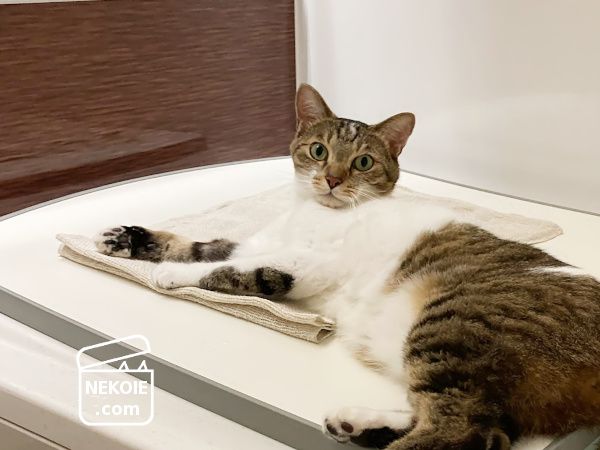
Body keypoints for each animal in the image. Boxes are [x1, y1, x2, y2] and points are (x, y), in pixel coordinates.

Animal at [95, 84, 600, 450]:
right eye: (318, 151)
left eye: (362, 162)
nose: (333, 179)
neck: (314, 211)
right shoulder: (261, 241)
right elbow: (203, 246)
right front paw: (127, 240)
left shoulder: (301, 264)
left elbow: (227, 271)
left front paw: (171, 276)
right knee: (481, 425)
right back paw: (356, 423)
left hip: (457, 320)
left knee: (463, 431)